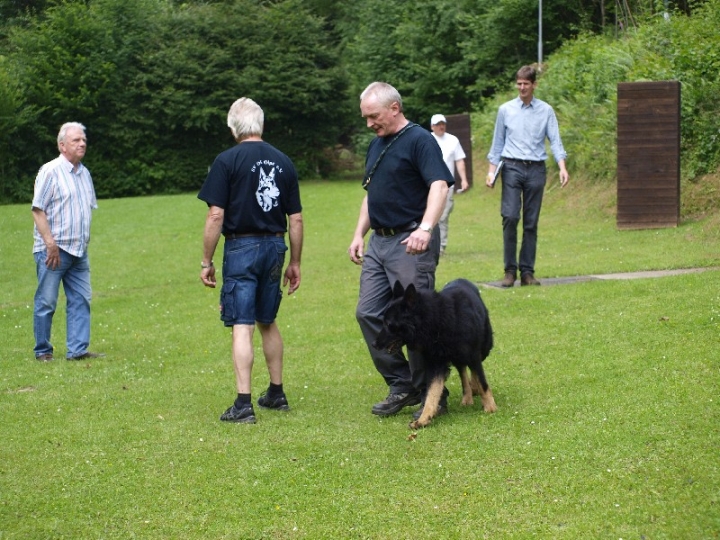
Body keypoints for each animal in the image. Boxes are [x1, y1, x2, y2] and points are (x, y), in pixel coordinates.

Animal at [372, 280, 496, 428]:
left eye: (388, 324)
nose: (374, 344)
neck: (438, 321)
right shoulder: (436, 364)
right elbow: (432, 393)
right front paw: (423, 419)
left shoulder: (473, 356)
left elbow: (483, 382)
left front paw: (490, 407)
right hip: (458, 359)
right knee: (463, 373)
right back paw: (467, 396)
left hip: (483, 350)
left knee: (473, 371)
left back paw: (475, 388)